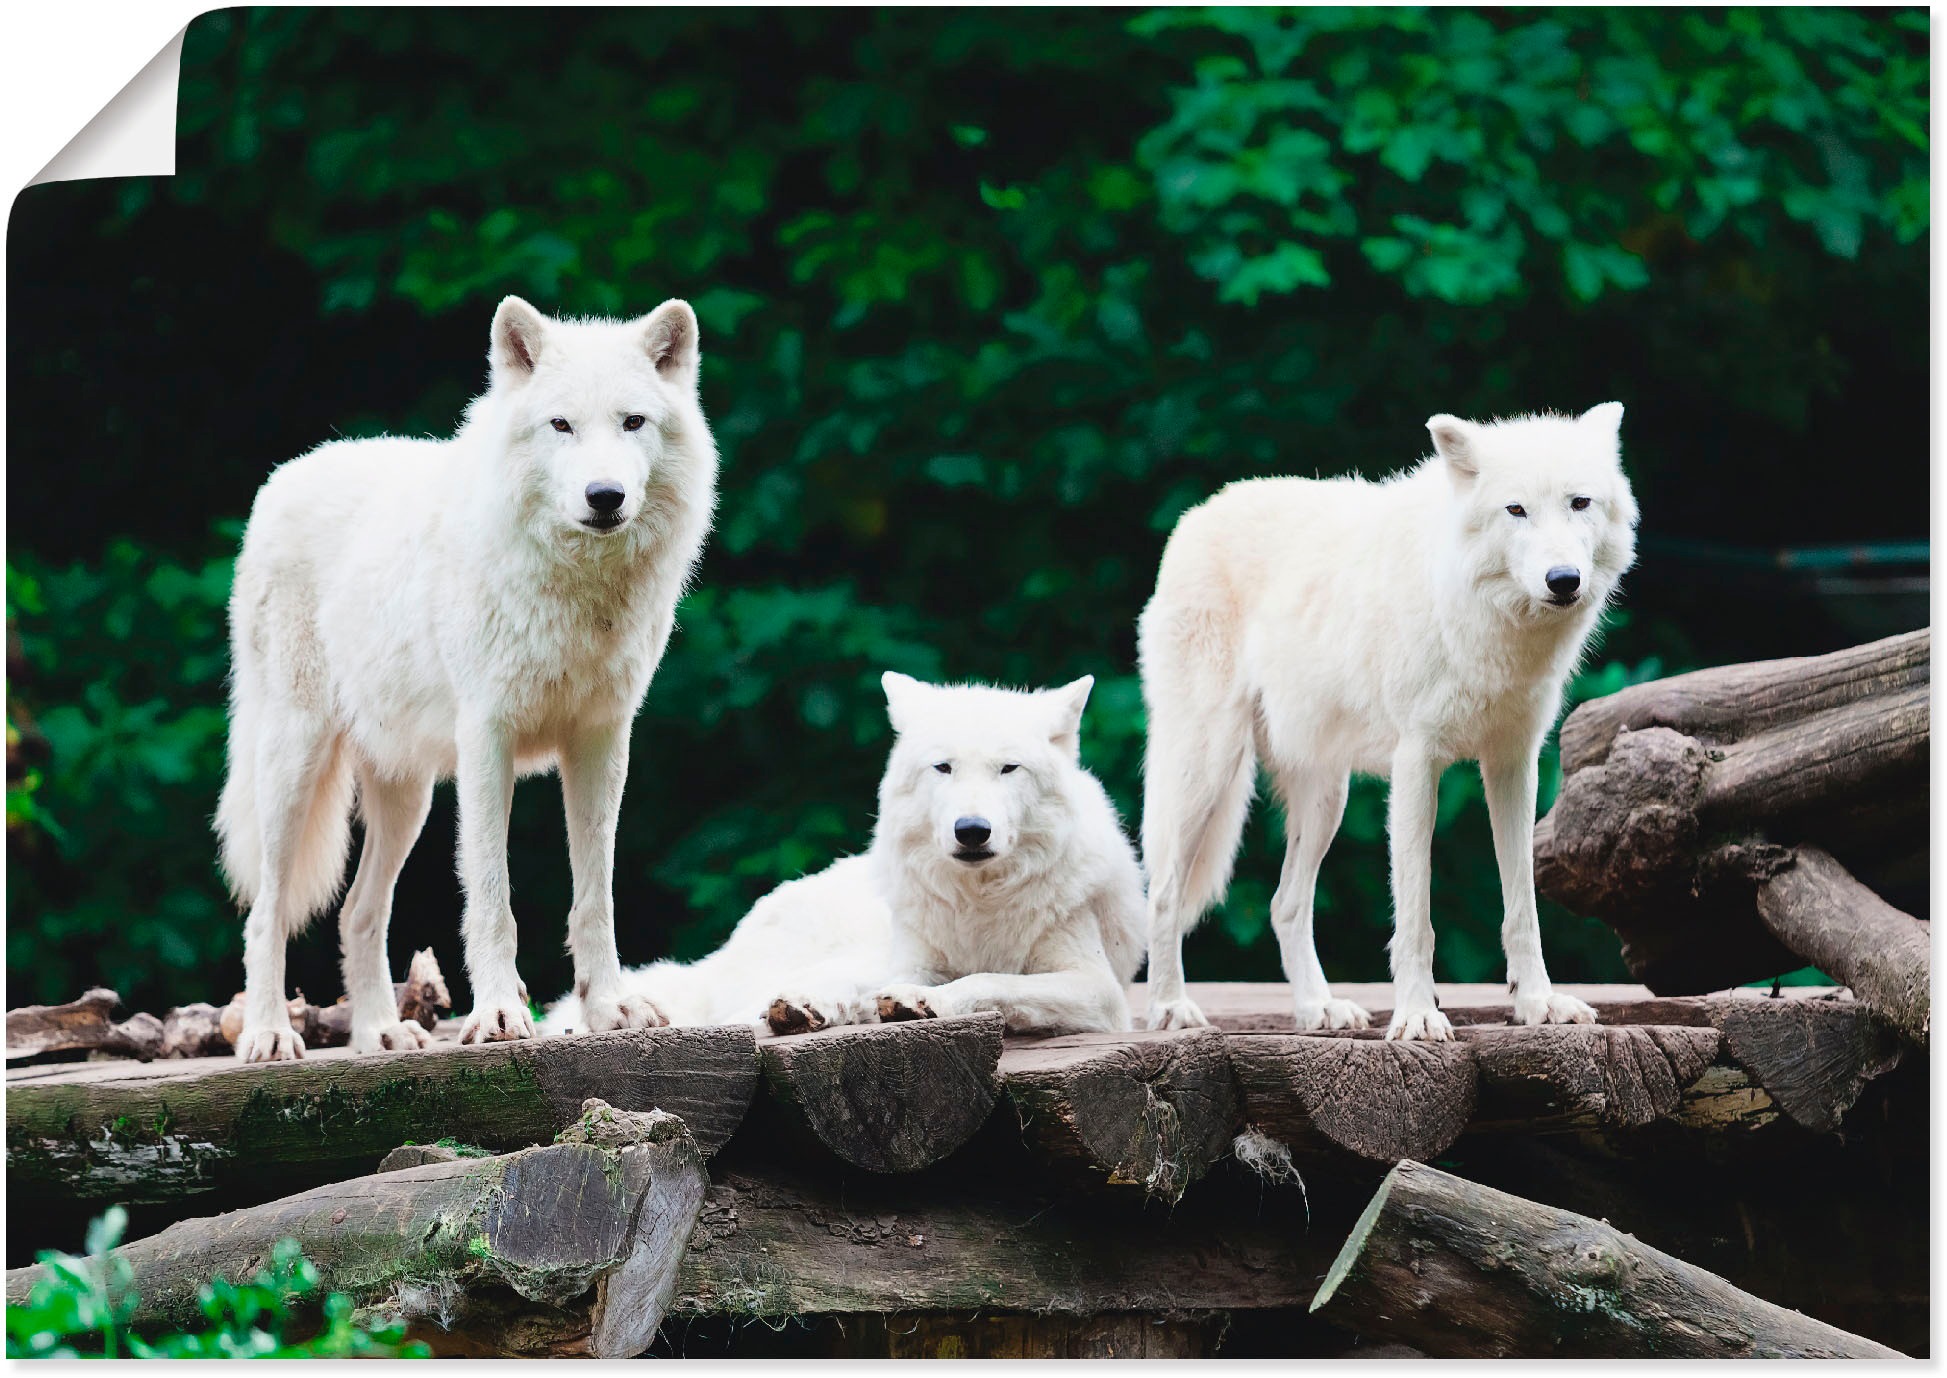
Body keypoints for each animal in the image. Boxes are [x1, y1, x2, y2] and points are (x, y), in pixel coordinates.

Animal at [216, 296, 717, 1061]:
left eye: (633, 422)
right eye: (561, 425)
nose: (604, 496)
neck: (576, 589)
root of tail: (284, 477)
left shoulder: (601, 741)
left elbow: (595, 895)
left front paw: (609, 1009)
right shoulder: (488, 739)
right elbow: (490, 895)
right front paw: (499, 1016)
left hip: (407, 796)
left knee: (358, 912)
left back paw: (381, 1033)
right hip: (292, 767)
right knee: (266, 911)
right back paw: (270, 1035)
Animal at [544, 673, 1146, 1037]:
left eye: (1008, 769)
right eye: (944, 767)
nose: (972, 831)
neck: (981, 906)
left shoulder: (1097, 989)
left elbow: (992, 983)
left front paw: (923, 1002)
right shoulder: (913, 959)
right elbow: (935, 981)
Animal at [1138, 404, 1637, 1040]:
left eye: (1579, 503)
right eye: (1516, 509)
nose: (1563, 579)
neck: (1479, 620)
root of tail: (1198, 514)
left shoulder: (1513, 763)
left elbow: (1522, 907)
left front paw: (1538, 1004)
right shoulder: (1416, 763)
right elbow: (1417, 918)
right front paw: (1419, 1015)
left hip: (1327, 798)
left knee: (1285, 904)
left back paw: (1319, 1009)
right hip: (1208, 768)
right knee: (1164, 893)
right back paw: (1170, 1008)